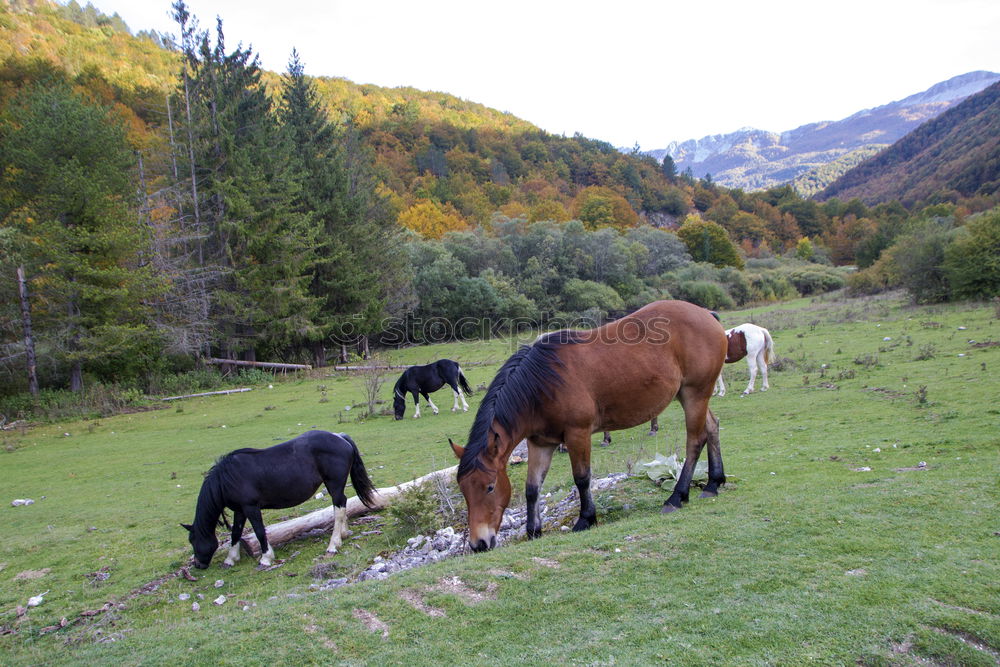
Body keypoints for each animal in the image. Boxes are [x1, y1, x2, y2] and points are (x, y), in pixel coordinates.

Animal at [182, 434, 376, 568]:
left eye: (193, 540)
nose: (198, 565)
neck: (226, 479)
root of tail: (340, 437)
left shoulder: (251, 508)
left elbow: (259, 531)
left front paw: (266, 558)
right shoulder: (240, 510)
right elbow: (236, 533)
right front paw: (231, 558)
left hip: (334, 485)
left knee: (339, 506)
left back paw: (333, 544)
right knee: (341, 507)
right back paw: (343, 534)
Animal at [452, 300, 728, 552]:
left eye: (489, 487)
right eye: (463, 490)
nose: (479, 543)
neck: (541, 385)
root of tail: (706, 314)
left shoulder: (578, 434)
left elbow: (582, 478)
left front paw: (586, 519)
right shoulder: (540, 443)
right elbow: (532, 488)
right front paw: (533, 531)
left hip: (695, 394)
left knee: (695, 441)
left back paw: (677, 496)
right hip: (690, 395)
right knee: (712, 427)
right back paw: (713, 483)